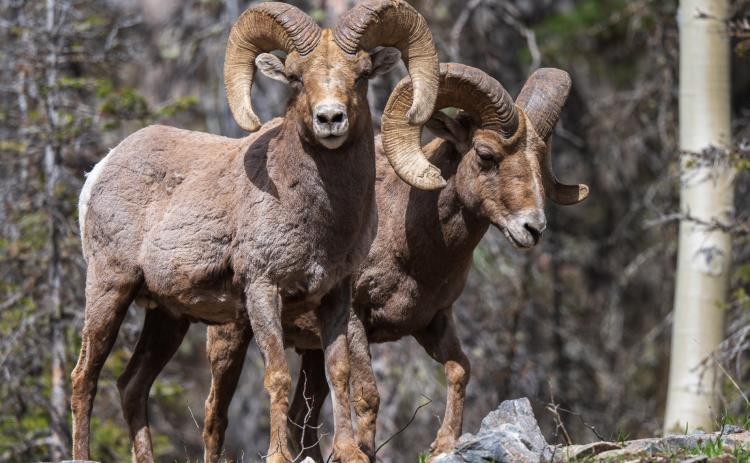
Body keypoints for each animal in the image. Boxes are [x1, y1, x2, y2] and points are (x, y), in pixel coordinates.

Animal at [70, 2, 441, 463]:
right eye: (297, 77)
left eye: (361, 75)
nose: (330, 119)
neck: (321, 219)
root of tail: (101, 169)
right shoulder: (263, 290)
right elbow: (278, 376)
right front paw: (279, 454)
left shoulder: (335, 295)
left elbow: (338, 371)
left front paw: (348, 451)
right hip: (110, 288)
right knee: (85, 378)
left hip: (167, 318)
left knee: (131, 385)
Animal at [199, 63, 590, 462]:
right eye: (485, 154)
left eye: (539, 159)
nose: (533, 228)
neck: (414, 249)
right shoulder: (356, 320)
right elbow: (368, 395)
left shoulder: (433, 322)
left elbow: (460, 369)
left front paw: (443, 444)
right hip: (232, 337)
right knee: (216, 416)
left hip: (312, 353)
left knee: (300, 420)